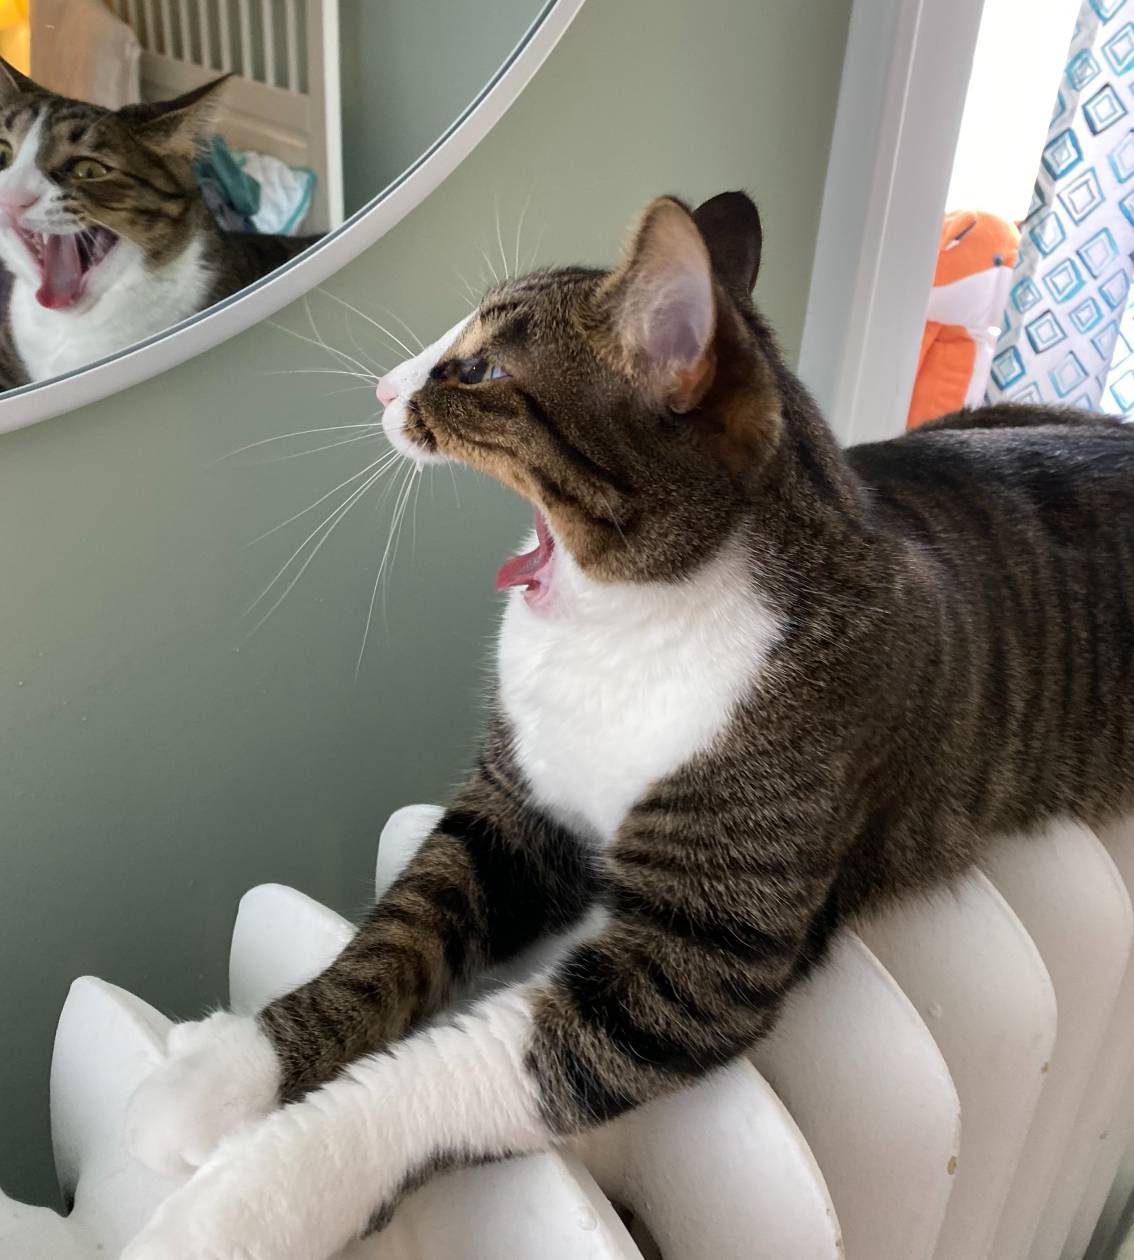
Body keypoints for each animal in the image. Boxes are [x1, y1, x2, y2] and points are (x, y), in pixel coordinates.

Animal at [119, 191, 1134, 1254]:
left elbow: (446, 1075)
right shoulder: (513, 807)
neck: (626, 623)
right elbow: (396, 932)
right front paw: (228, 1073)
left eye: (477, 371)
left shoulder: (696, 956)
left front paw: (251, 1197)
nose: (382, 387)